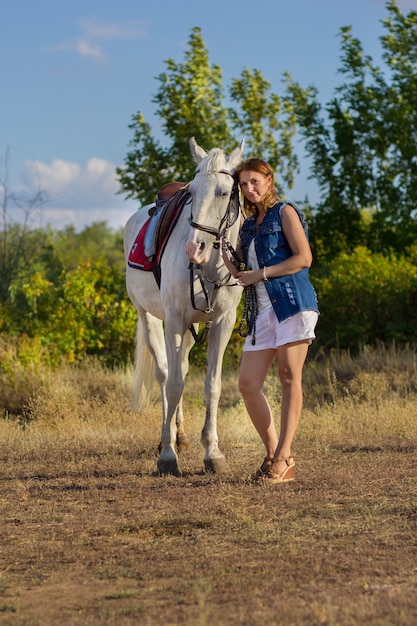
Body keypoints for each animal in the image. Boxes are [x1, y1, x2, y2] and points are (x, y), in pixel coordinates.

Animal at [124, 138, 244, 472]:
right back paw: (168, 439)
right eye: (191, 192)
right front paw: (167, 456)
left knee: (183, 367)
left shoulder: (223, 322)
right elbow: (174, 383)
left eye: (224, 193)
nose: (194, 247)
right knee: (165, 373)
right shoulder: (175, 319)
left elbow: (212, 385)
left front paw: (213, 453)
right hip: (149, 317)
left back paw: (180, 434)